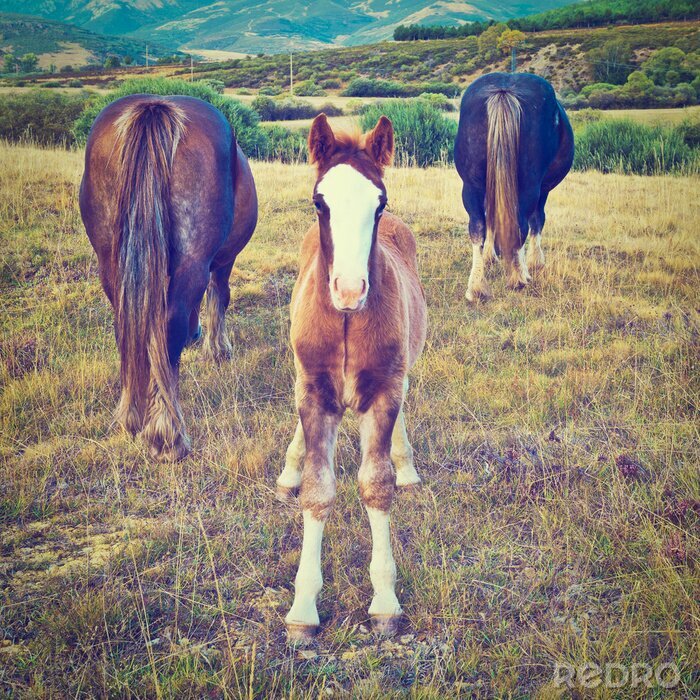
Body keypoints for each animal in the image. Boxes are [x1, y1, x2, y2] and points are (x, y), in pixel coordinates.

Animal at [80, 95, 258, 461]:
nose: (196, 334)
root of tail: (154, 107)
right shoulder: (223, 261)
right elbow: (220, 296)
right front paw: (217, 349)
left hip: (111, 263)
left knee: (127, 327)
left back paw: (132, 418)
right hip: (193, 261)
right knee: (169, 325)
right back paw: (166, 434)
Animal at [276, 114, 427, 643]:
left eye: (379, 203)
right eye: (319, 201)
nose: (348, 290)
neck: (343, 322)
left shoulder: (382, 390)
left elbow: (376, 485)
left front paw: (384, 601)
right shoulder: (314, 392)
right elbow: (317, 490)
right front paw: (303, 609)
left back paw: (407, 466)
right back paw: (287, 469)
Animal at [454, 72, 574, 301]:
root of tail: (504, 90)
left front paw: (490, 255)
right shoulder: (542, 190)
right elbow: (538, 220)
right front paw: (535, 261)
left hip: (470, 185)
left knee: (477, 226)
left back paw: (476, 287)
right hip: (529, 186)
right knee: (522, 225)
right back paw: (519, 277)